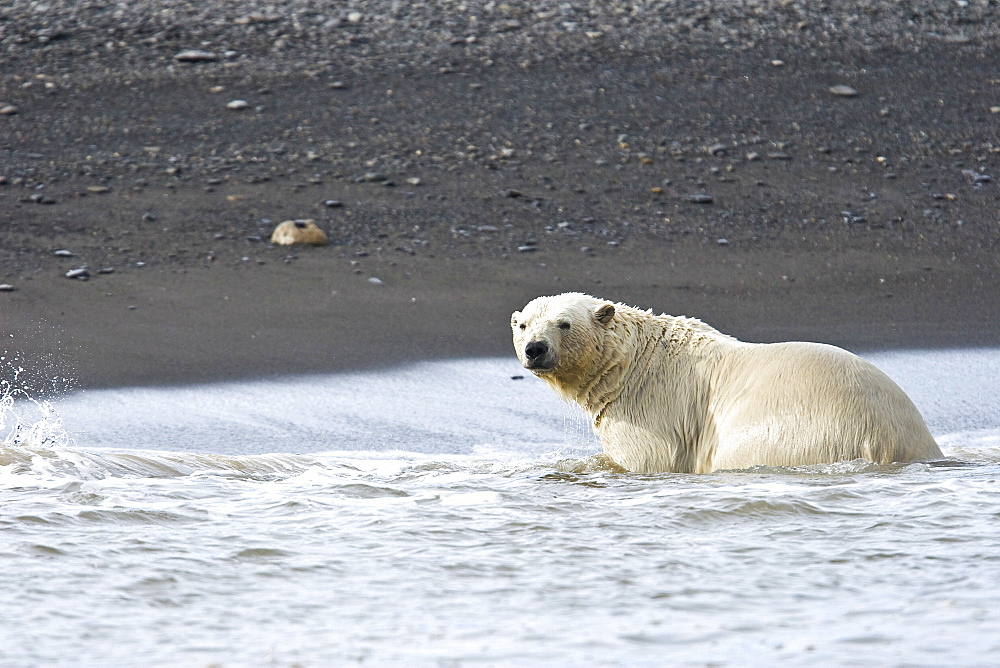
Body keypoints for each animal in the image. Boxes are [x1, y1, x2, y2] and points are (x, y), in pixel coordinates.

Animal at [512, 294, 940, 474]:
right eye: (524, 324)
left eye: (564, 324)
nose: (535, 349)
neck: (632, 363)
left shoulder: (651, 413)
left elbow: (646, 460)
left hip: (803, 434)